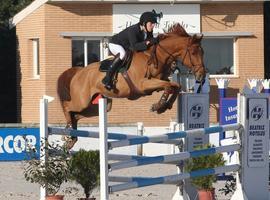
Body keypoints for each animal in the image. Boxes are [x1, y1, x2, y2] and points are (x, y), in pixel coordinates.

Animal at [56, 23, 205, 148]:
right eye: (193, 53)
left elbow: (175, 86)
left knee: (75, 115)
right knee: (68, 107)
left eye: (203, 52)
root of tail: (78, 72)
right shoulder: (143, 84)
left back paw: (71, 137)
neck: (157, 56)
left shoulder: (156, 84)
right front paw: (158, 106)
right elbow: (170, 85)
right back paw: (67, 132)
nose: (201, 75)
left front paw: (164, 106)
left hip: (98, 106)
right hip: (82, 101)